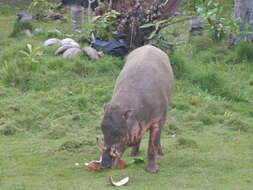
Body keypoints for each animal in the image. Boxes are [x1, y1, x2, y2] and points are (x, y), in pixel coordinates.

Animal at [100, 44, 173, 172]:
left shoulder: (157, 119)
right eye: (101, 128)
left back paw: (160, 153)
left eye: (118, 131)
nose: (104, 165)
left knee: (158, 138)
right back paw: (133, 154)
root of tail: (150, 45)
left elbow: (152, 145)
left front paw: (152, 171)